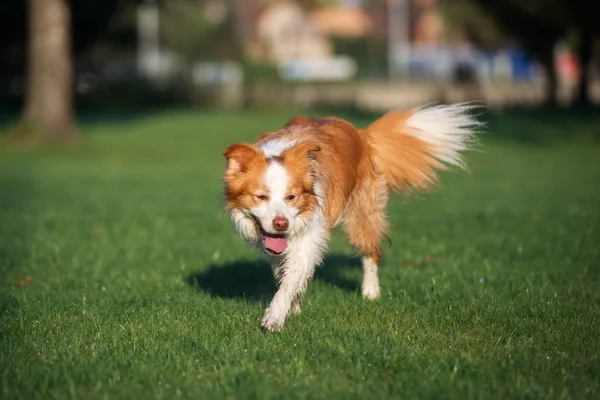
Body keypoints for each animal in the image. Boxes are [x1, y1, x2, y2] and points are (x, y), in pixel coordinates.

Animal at [223, 103, 480, 332]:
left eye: (291, 197)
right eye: (261, 196)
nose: (281, 224)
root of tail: (362, 134)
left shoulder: (310, 235)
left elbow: (291, 278)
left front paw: (275, 318)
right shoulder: (277, 245)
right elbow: (283, 273)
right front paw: (293, 307)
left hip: (361, 217)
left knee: (371, 252)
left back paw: (371, 293)